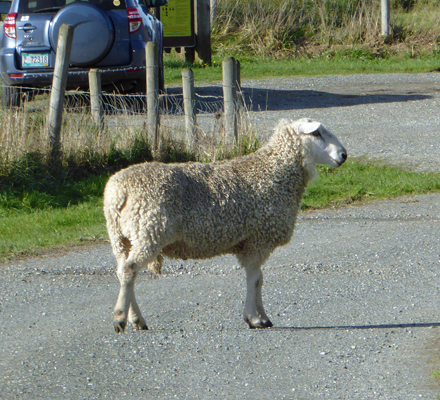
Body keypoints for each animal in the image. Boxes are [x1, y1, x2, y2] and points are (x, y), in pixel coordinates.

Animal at [104, 117, 348, 332]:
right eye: (317, 133)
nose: (344, 155)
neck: (276, 172)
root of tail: (118, 191)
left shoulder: (253, 242)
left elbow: (259, 280)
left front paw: (262, 316)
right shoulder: (259, 239)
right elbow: (255, 280)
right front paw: (254, 318)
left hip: (123, 237)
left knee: (124, 272)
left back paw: (137, 319)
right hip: (150, 229)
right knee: (130, 270)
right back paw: (120, 318)